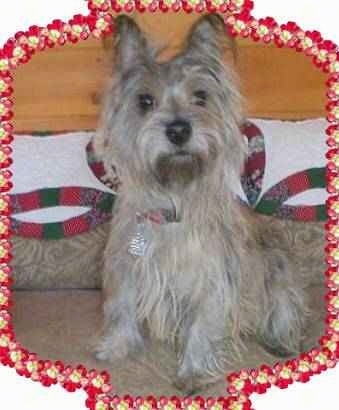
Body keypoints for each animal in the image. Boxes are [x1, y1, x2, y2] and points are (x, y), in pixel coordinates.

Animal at [93, 13, 310, 394]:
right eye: (145, 101)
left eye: (200, 96)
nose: (179, 130)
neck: (173, 200)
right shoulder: (127, 265)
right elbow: (122, 307)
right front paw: (118, 346)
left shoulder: (211, 280)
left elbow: (202, 326)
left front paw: (193, 371)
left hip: (278, 274)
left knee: (284, 311)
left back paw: (282, 341)